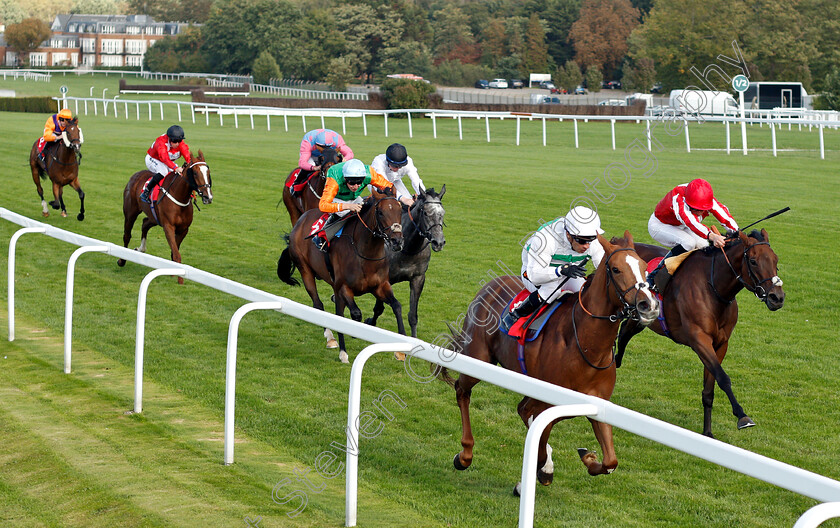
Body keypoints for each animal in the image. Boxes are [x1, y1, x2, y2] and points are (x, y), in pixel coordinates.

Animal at [115, 152, 213, 284]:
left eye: (208, 172)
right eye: (195, 173)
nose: (208, 197)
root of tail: (136, 175)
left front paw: (173, 274)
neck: (180, 196)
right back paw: (122, 260)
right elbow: (176, 254)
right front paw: (180, 281)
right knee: (127, 235)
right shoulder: (168, 227)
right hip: (130, 212)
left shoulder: (183, 229)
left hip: (154, 218)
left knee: (145, 223)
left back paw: (140, 249)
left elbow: (174, 252)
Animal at [278, 188, 406, 366]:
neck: (365, 254)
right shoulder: (344, 287)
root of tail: (300, 222)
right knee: (318, 304)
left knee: (337, 310)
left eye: (400, 210)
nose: (397, 241)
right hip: (306, 271)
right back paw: (332, 339)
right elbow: (355, 313)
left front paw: (400, 351)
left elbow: (397, 306)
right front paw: (351, 335)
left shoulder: (380, 286)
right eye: (380, 212)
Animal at [366, 184, 450, 336]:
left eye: (443, 213)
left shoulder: (418, 278)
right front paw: (370, 322)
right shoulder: (384, 279)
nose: (439, 242)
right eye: (426, 213)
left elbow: (413, 316)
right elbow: (379, 308)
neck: (408, 249)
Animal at [436, 233, 660, 492]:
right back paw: (465, 455)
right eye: (615, 269)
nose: (649, 305)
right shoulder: (548, 400)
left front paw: (586, 457)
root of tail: (490, 285)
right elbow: (540, 442)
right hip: (477, 360)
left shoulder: (596, 403)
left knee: (520, 408)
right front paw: (538, 474)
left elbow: (610, 461)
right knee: (462, 391)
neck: (587, 345)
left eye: (644, 268)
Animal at [612, 229, 784, 440]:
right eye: (753, 261)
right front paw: (742, 416)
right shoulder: (699, 340)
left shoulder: (720, 344)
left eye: (775, 260)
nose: (777, 298)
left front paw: (707, 432)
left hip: (640, 319)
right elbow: (723, 378)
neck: (713, 287)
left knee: (625, 333)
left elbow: (710, 388)